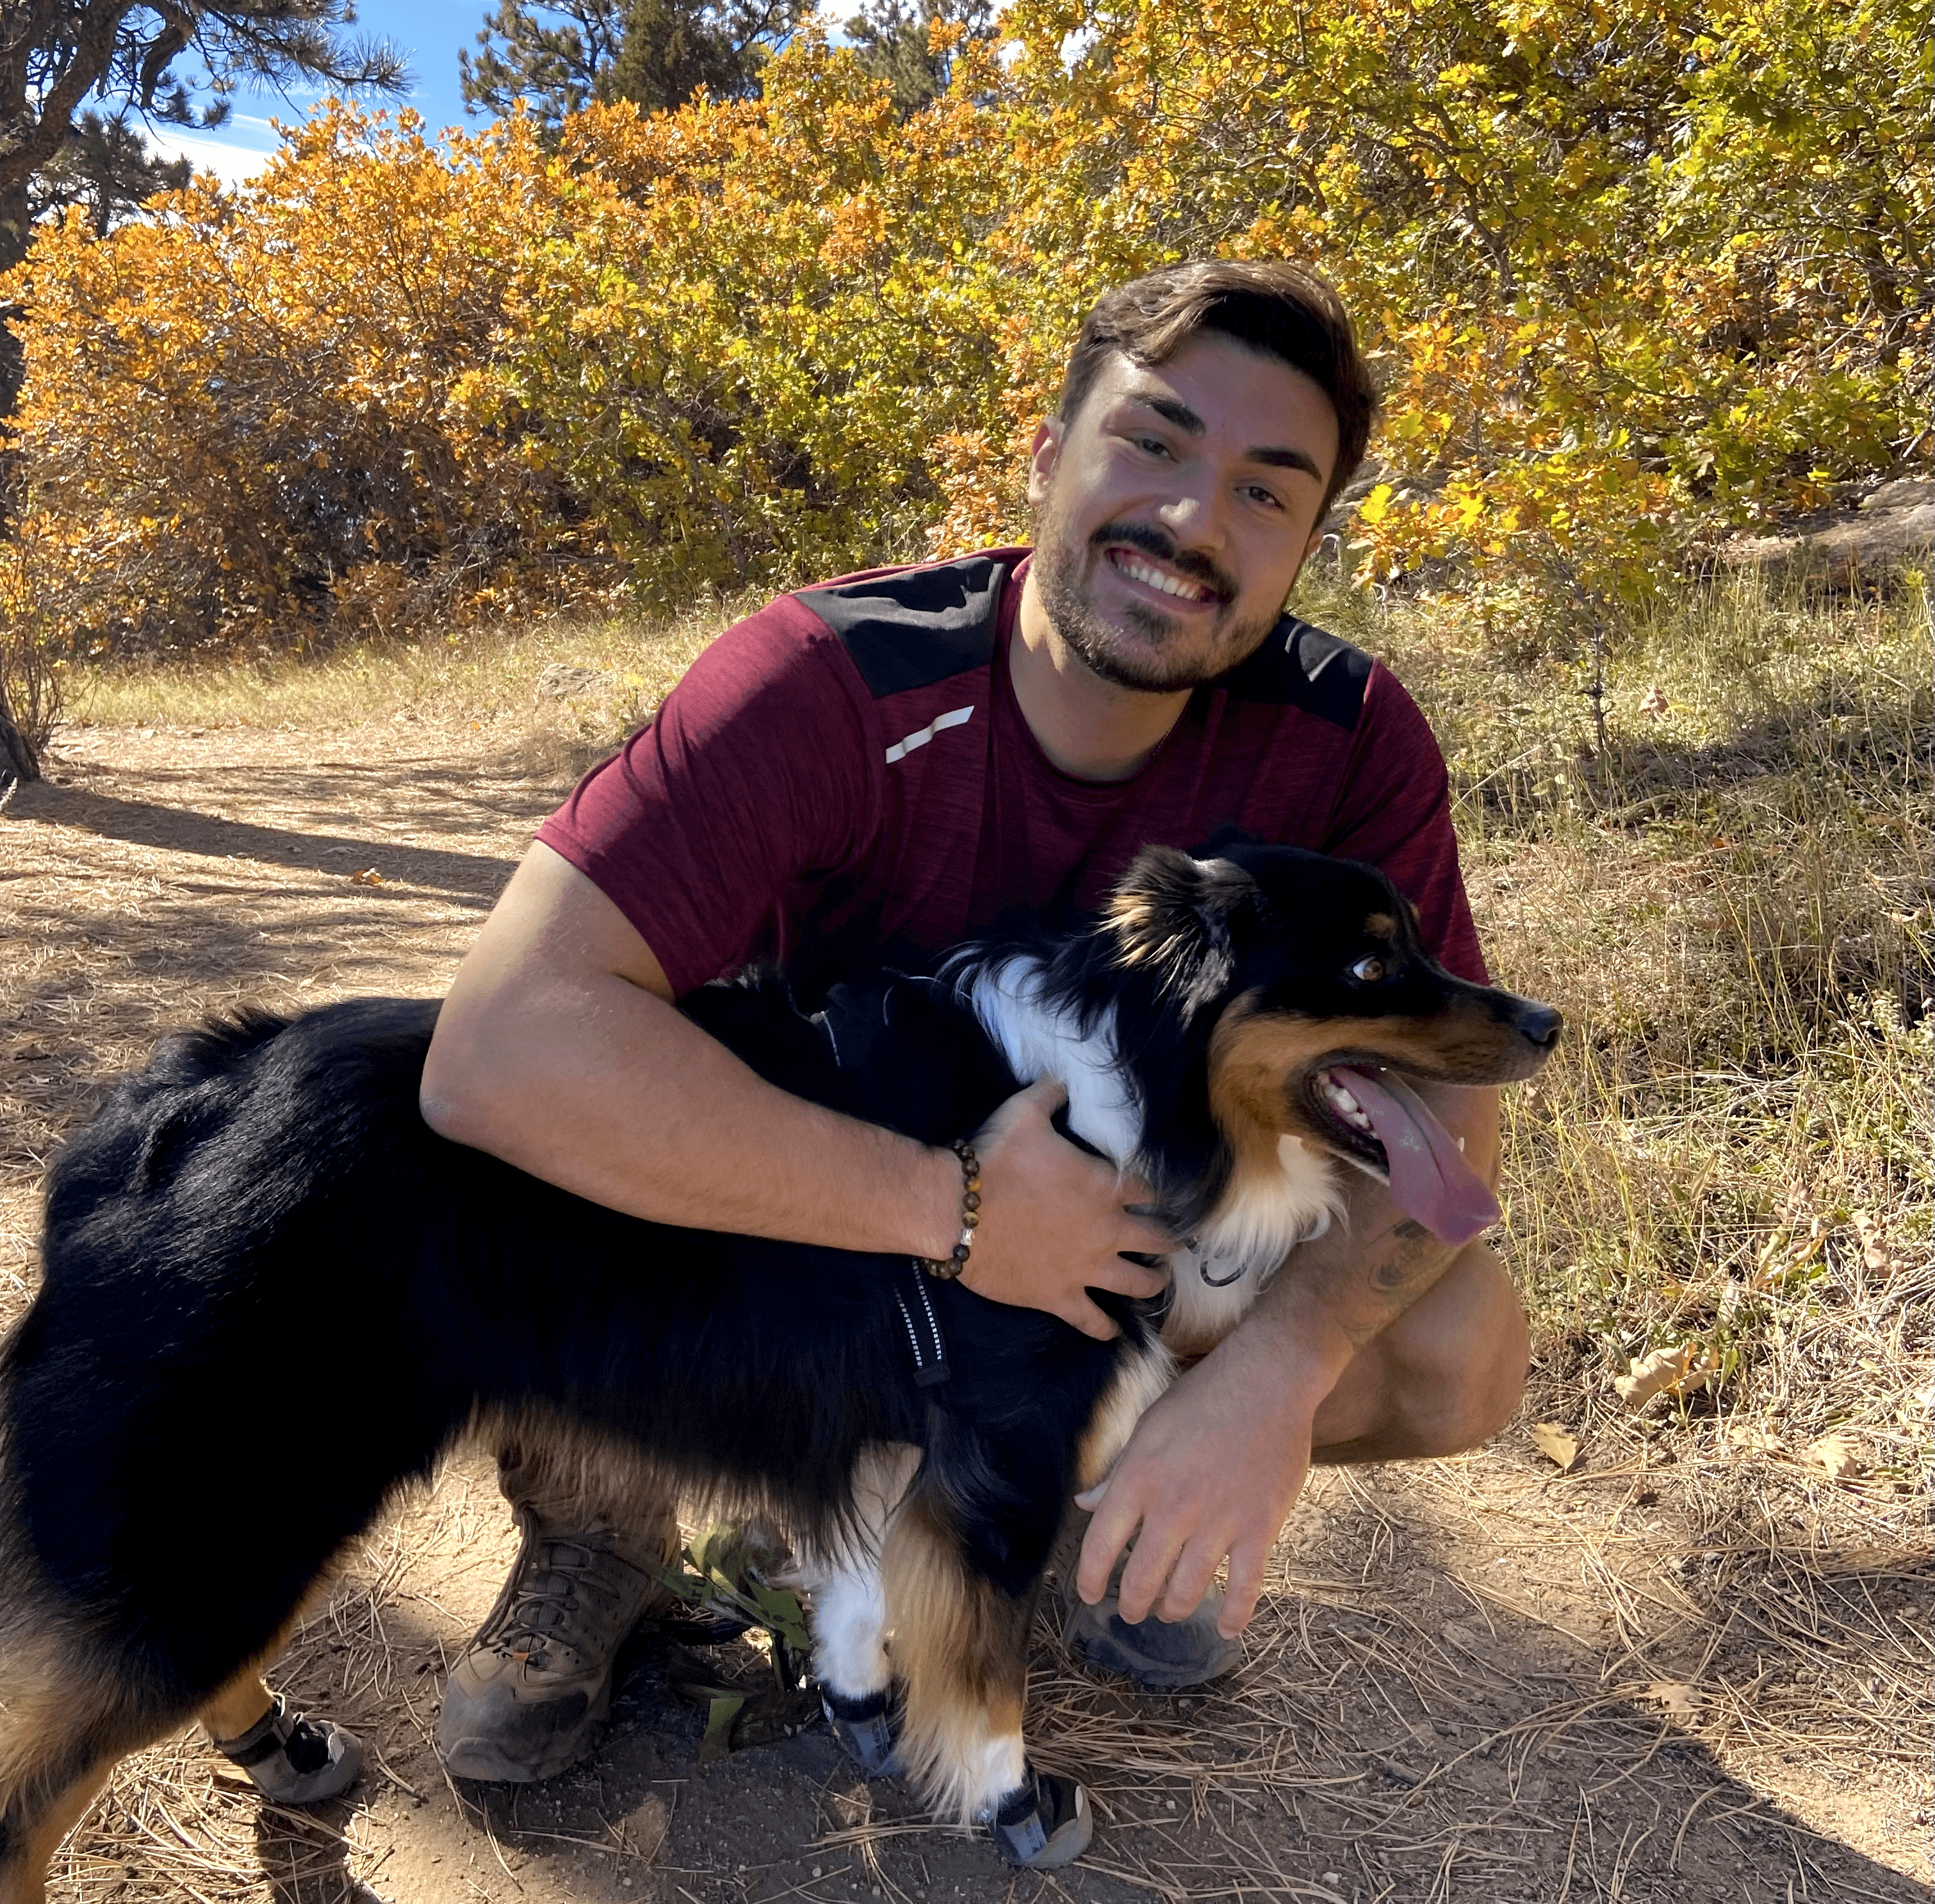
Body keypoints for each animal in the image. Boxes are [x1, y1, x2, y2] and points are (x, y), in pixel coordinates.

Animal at [0, 839, 1555, 1896]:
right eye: (1370, 964)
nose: (1545, 1021)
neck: (1128, 1082)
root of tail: (168, 1099)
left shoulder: (888, 1436)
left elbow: (863, 1589)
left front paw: (863, 1705)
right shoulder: (1001, 1454)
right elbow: (986, 1669)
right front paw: (1011, 1804)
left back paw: (286, 1747)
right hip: (238, 1487)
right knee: (39, 1779)